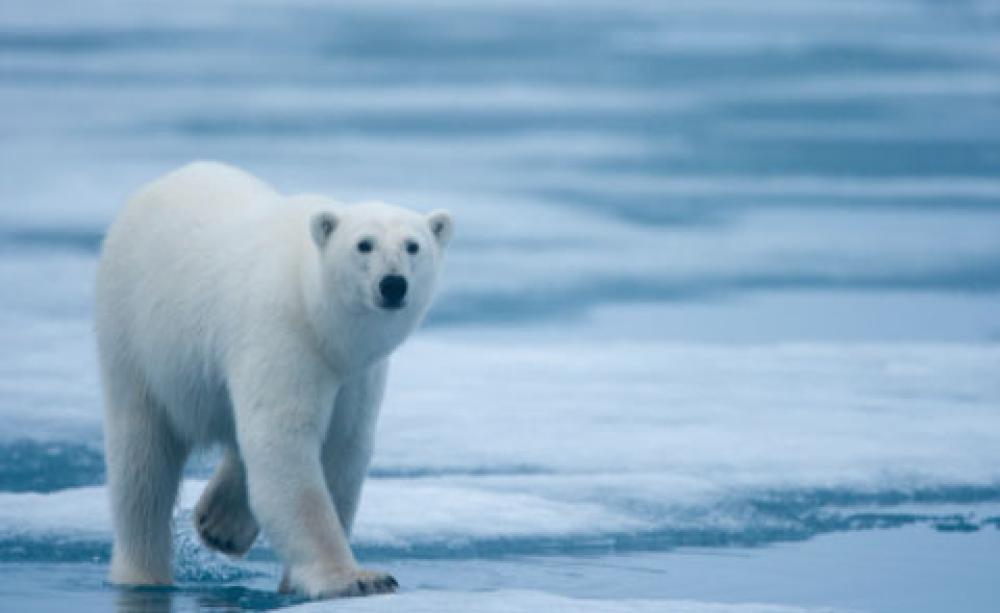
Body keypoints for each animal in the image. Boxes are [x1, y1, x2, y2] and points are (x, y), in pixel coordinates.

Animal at [94, 161, 452, 598]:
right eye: (364, 245)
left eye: (413, 246)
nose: (393, 283)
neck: (315, 308)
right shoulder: (282, 334)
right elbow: (285, 444)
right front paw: (354, 578)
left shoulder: (357, 375)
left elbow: (343, 449)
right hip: (136, 335)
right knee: (142, 465)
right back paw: (144, 573)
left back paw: (220, 523)